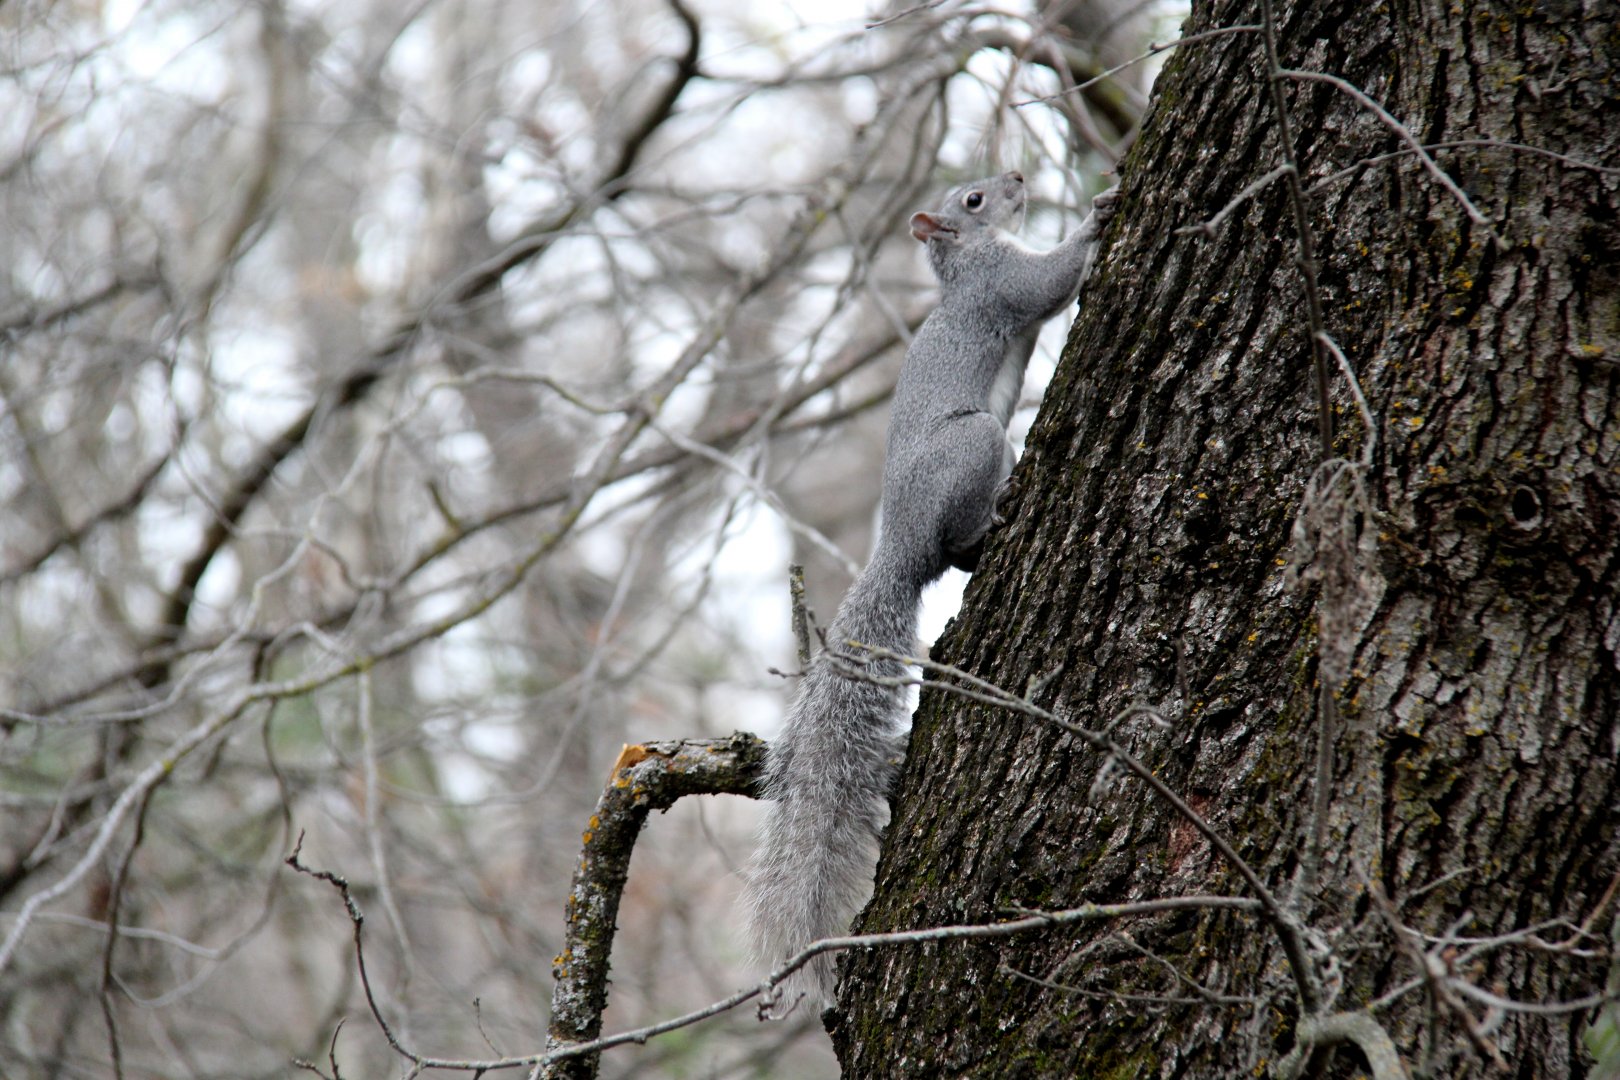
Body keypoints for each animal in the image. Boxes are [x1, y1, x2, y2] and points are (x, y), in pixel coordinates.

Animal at [742, 170, 1119, 1012]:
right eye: (973, 200)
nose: (1018, 178)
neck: (961, 261)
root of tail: (902, 545)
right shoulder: (997, 286)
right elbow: (1045, 285)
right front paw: (1093, 220)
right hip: (976, 441)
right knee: (958, 541)